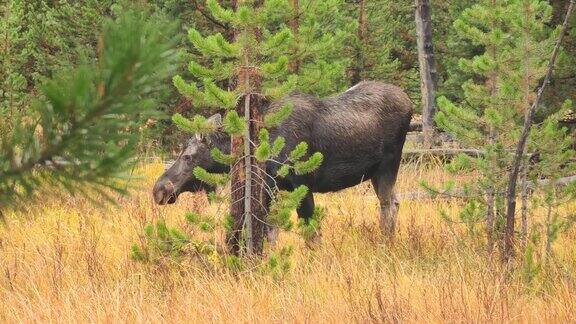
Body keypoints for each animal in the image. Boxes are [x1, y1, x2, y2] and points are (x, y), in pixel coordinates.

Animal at [153, 81, 414, 237]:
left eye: (188, 156)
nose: (159, 190)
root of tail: (409, 102)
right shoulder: (271, 189)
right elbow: (270, 234)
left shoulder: (301, 184)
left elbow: (310, 234)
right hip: (375, 172)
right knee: (394, 202)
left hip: (389, 164)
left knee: (388, 204)